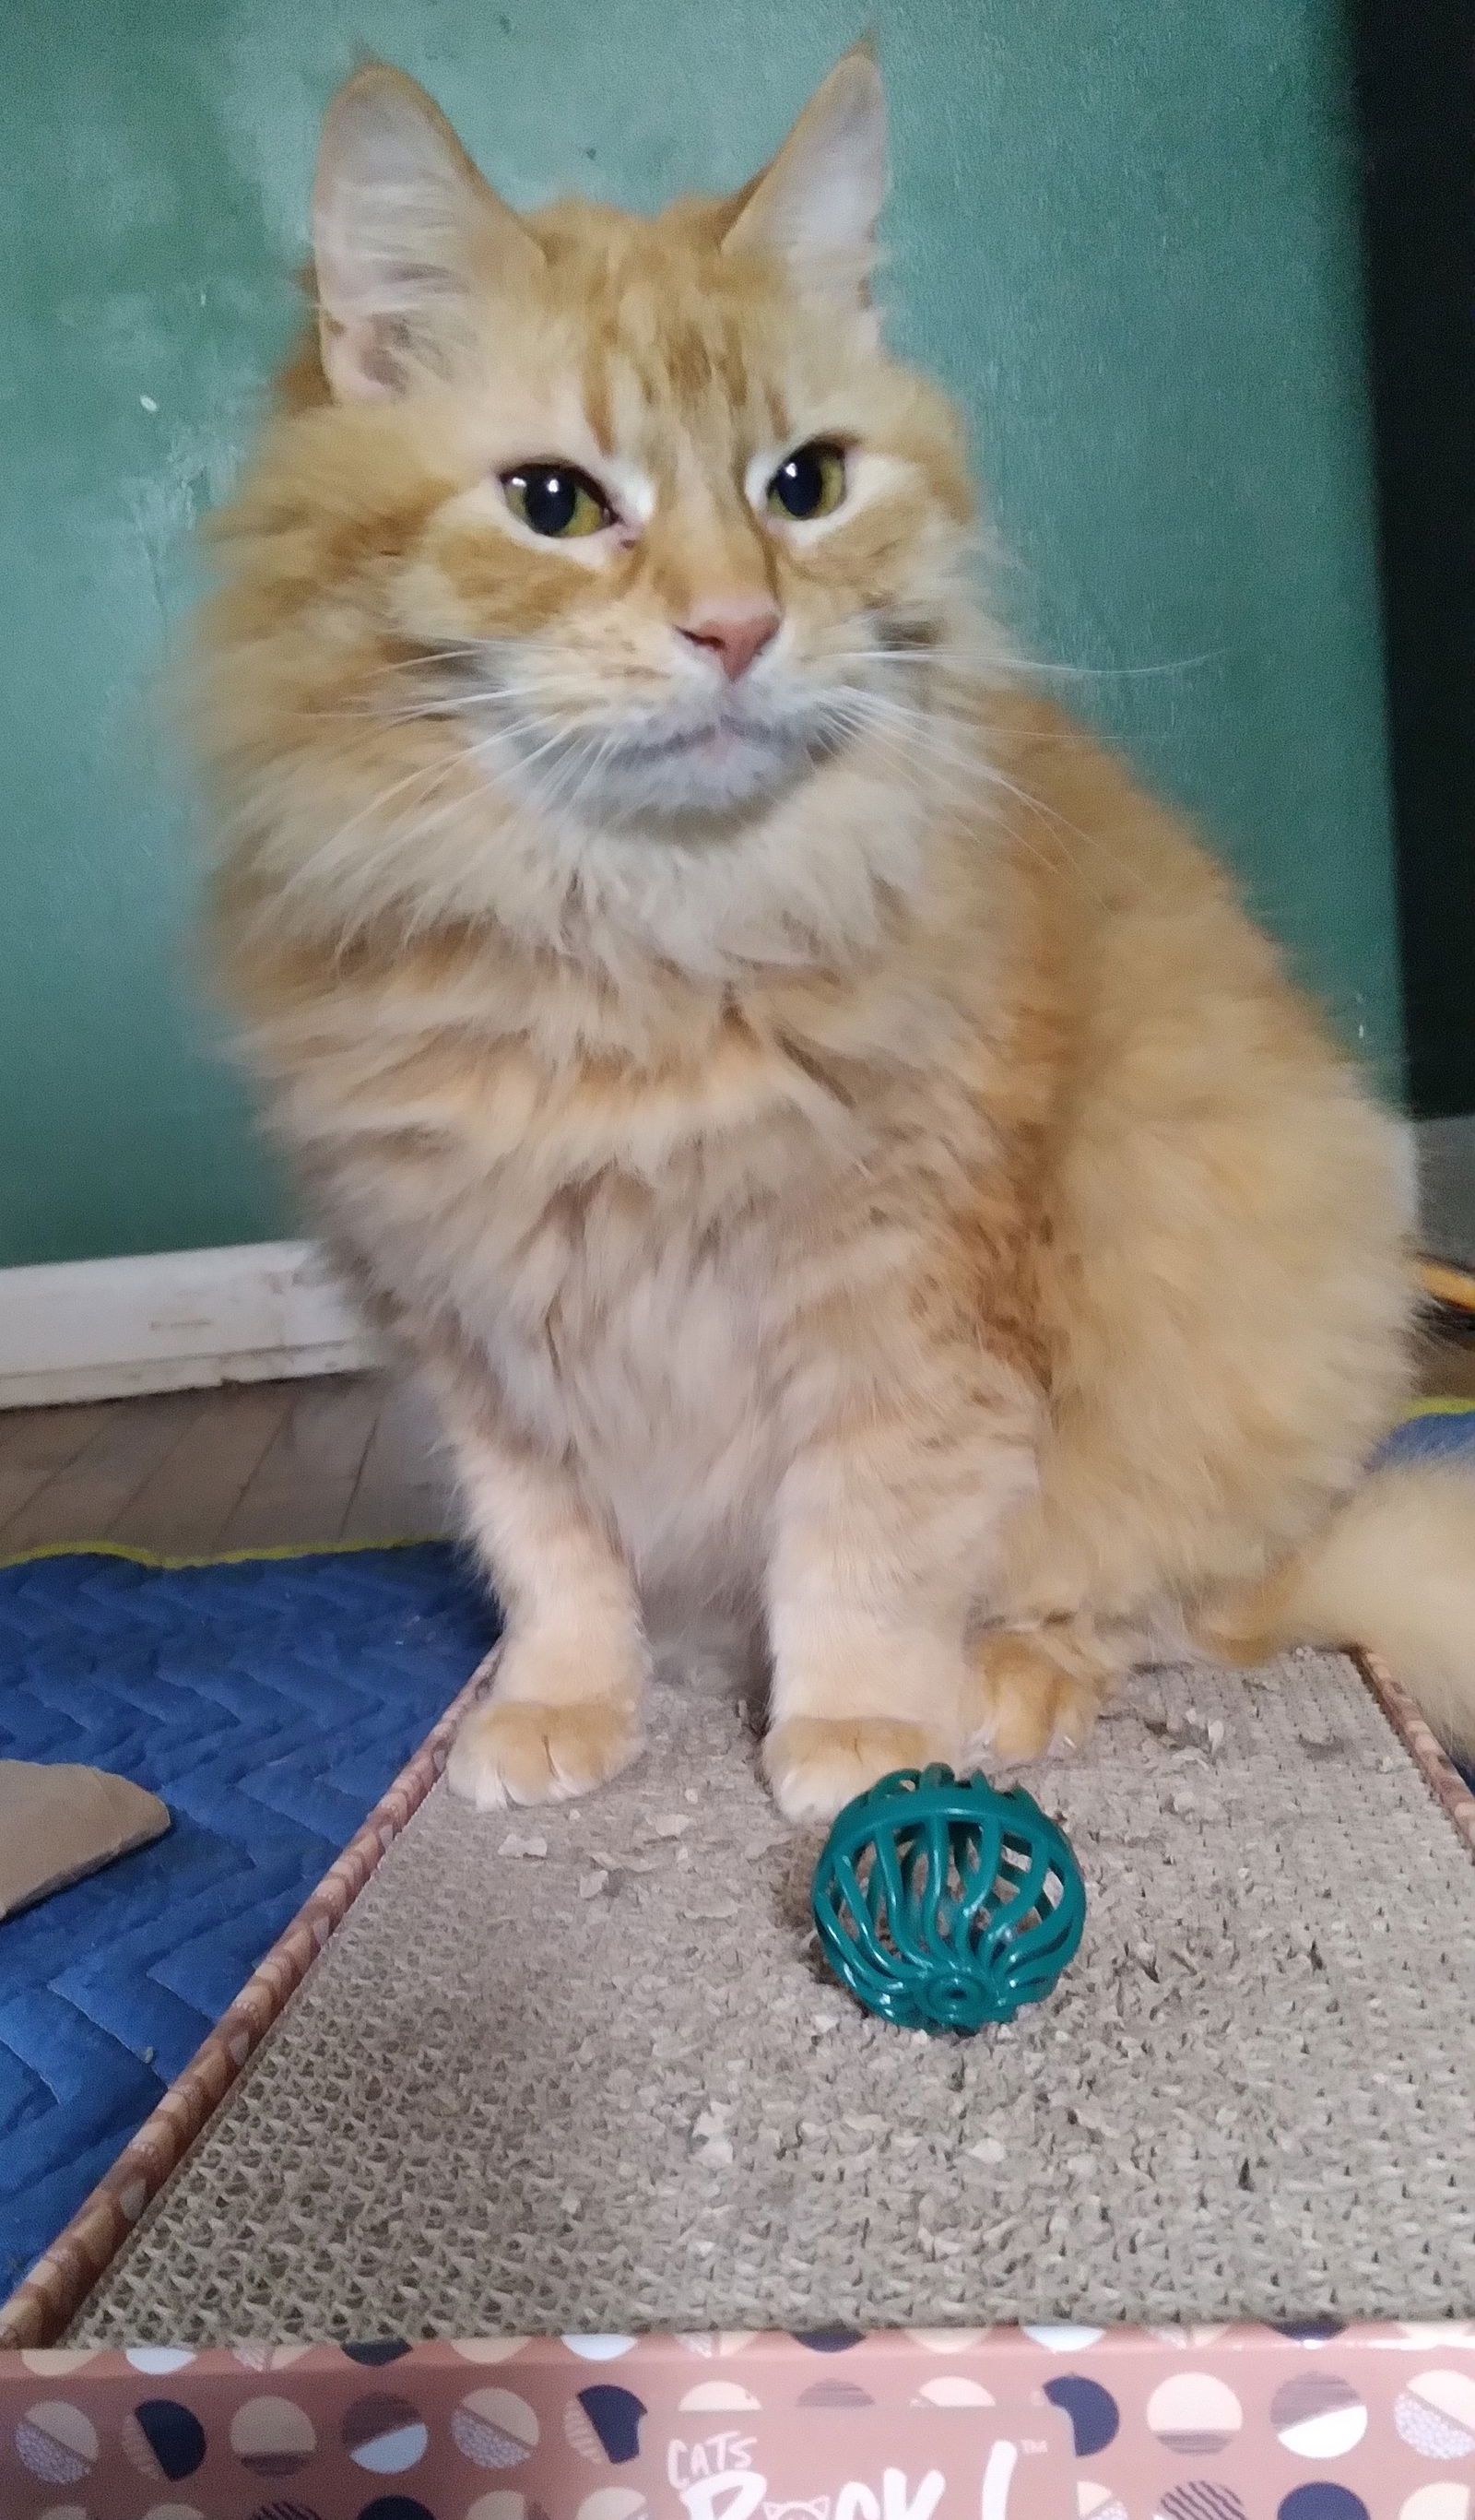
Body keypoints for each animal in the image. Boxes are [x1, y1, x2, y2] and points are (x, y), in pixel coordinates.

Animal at [197, 44, 1472, 1814]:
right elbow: (553, 1558)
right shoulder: (478, 1331)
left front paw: (859, 1733)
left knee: (1159, 1610)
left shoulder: (900, 1306)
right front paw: (562, 1703)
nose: (736, 627)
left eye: (803, 486)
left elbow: (861, 1550)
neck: (633, 946)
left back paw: (1009, 1679)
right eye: (552, 504)